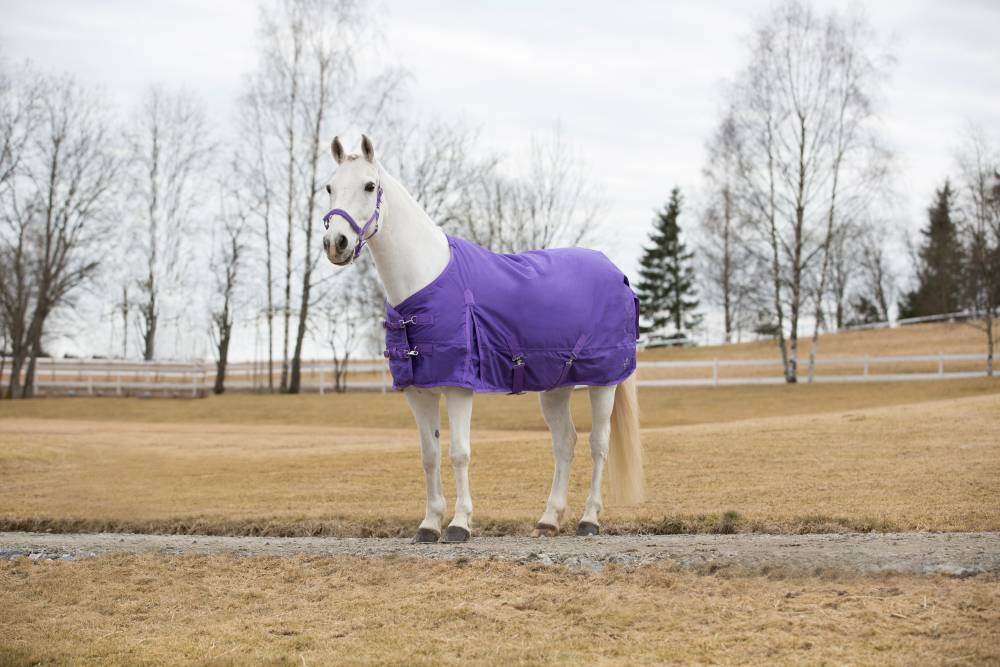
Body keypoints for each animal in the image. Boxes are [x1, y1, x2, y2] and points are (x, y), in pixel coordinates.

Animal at [321, 134, 643, 543]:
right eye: (330, 187)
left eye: (369, 185)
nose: (336, 243)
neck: (424, 283)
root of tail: (618, 274)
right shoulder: (417, 391)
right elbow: (429, 455)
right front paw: (429, 524)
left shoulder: (459, 387)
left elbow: (459, 453)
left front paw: (459, 524)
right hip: (556, 387)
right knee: (565, 443)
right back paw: (548, 520)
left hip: (604, 383)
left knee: (598, 444)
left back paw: (589, 520)